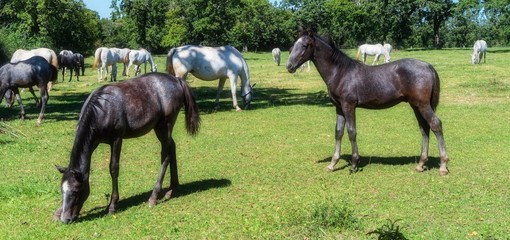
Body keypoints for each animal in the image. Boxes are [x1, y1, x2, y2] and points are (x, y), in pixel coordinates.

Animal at [54, 72, 201, 224]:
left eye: (76, 191)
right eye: (62, 190)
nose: (65, 219)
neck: (103, 109)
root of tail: (177, 80)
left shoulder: (116, 140)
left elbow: (113, 168)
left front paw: (112, 205)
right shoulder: (94, 142)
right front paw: (58, 211)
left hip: (164, 126)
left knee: (165, 156)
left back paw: (154, 197)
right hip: (161, 129)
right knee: (172, 147)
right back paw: (172, 188)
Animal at [286, 29, 450, 176]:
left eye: (305, 45)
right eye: (293, 45)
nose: (289, 66)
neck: (340, 73)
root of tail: (428, 66)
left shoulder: (349, 106)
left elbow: (351, 132)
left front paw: (354, 164)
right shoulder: (339, 108)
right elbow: (338, 132)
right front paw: (332, 164)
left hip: (422, 105)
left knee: (435, 124)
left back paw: (443, 166)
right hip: (416, 105)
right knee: (424, 128)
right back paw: (420, 164)